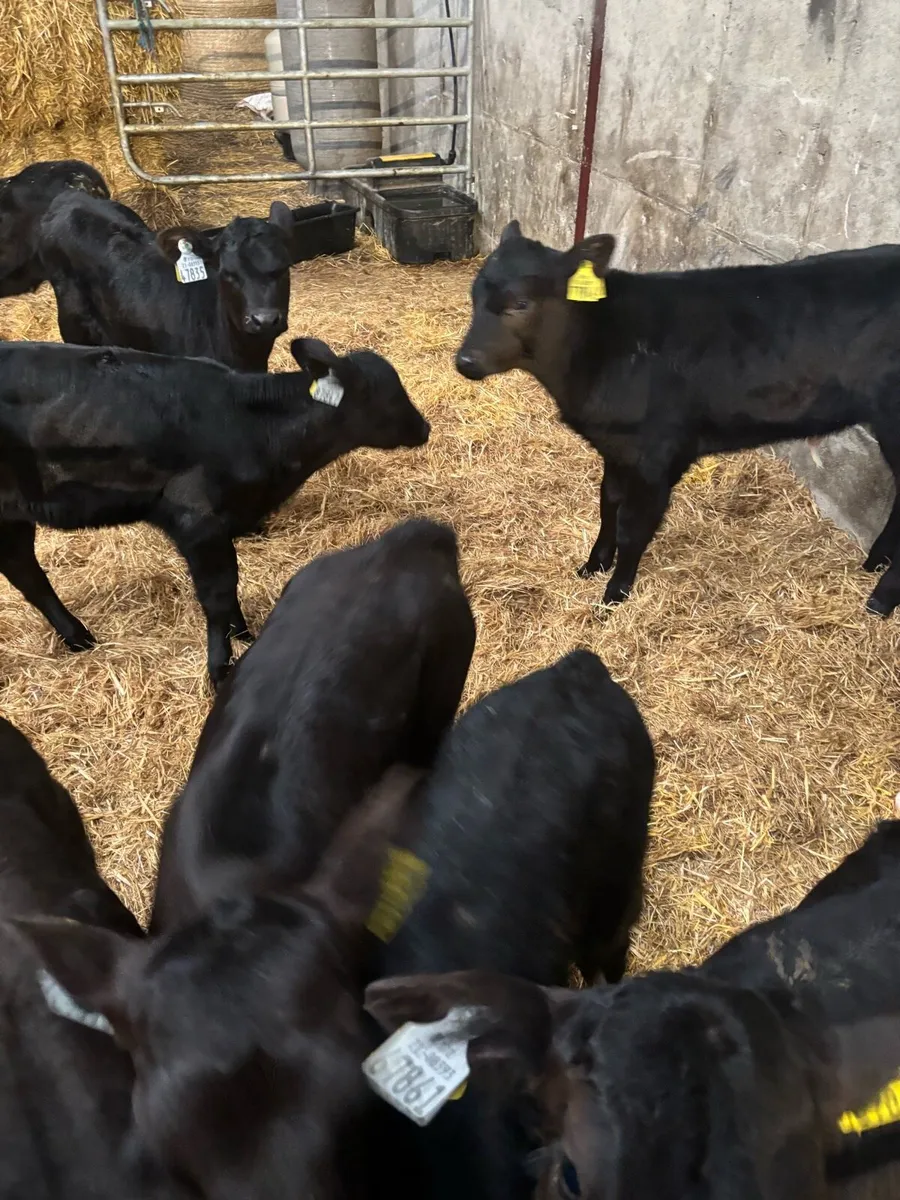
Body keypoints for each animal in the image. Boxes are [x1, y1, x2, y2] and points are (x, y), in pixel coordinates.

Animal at [0, 336, 430, 686]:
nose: (424, 428)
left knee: (25, 571)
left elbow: (230, 586)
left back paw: (77, 637)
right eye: (385, 396)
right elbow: (217, 593)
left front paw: (244, 633)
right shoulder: (196, 520)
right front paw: (220, 668)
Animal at [455, 222, 900, 616]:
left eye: (520, 304)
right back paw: (874, 564)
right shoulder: (617, 448)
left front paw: (614, 595)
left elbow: (634, 525)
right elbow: (608, 504)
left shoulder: (658, 456)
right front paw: (593, 565)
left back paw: (880, 600)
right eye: (475, 293)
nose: (465, 361)